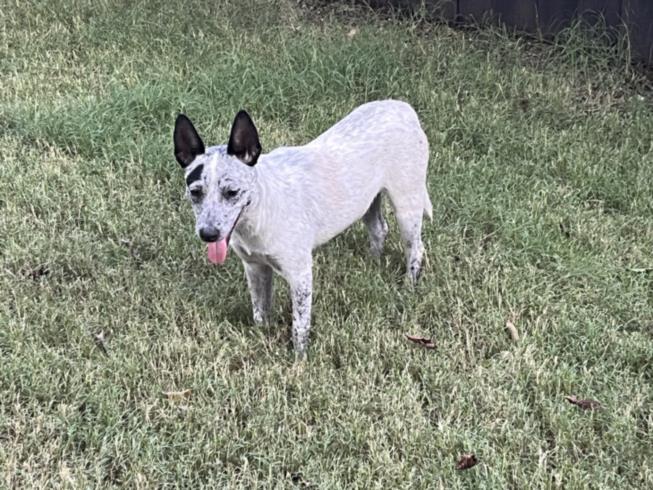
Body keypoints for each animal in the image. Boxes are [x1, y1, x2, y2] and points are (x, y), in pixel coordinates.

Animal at [171, 100, 430, 360]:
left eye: (232, 192)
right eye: (195, 192)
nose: (208, 235)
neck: (260, 209)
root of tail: (403, 107)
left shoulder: (300, 275)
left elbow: (299, 325)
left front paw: (300, 360)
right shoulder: (255, 267)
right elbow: (259, 311)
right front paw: (262, 336)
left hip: (407, 205)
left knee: (416, 249)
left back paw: (408, 288)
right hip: (367, 201)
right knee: (379, 229)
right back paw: (373, 262)